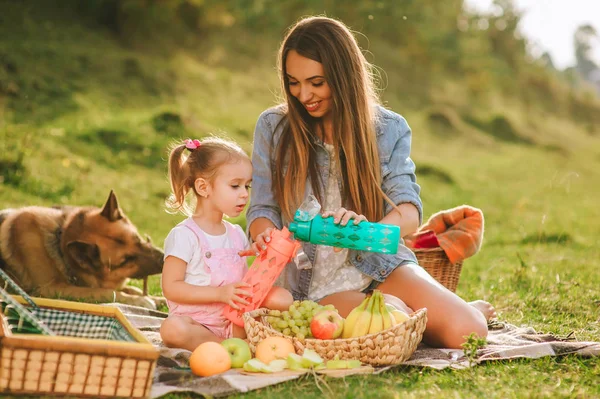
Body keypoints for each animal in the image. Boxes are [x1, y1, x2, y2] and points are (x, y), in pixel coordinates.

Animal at [0, 191, 164, 310]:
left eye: (138, 240)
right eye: (126, 260)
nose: (163, 259)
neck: (60, 245)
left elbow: (131, 288)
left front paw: (155, 299)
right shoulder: (49, 290)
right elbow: (105, 292)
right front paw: (140, 300)